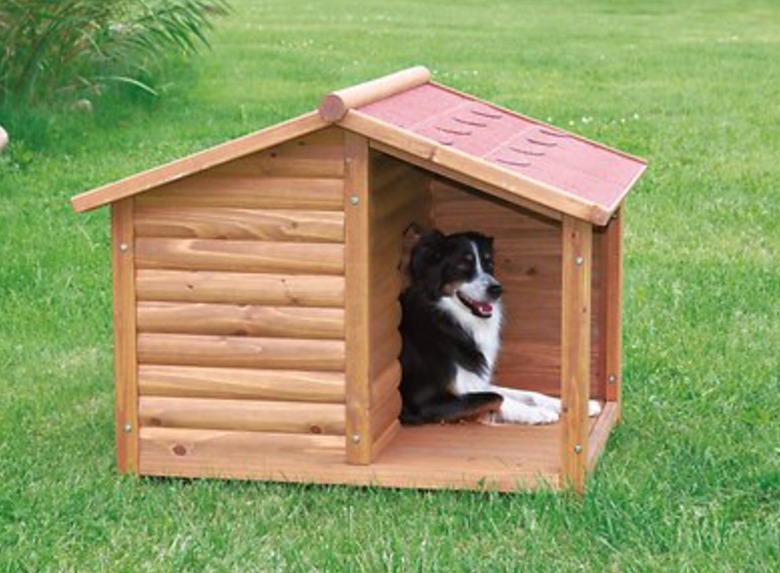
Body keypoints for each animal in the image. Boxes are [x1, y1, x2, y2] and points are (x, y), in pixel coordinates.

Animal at [400, 229, 600, 424]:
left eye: (489, 264)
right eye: (463, 265)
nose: (497, 289)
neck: (447, 317)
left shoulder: (473, 383)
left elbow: (526, 394)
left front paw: (578, 405)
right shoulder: (422, 402)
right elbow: (496, 397)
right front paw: (538, 413)